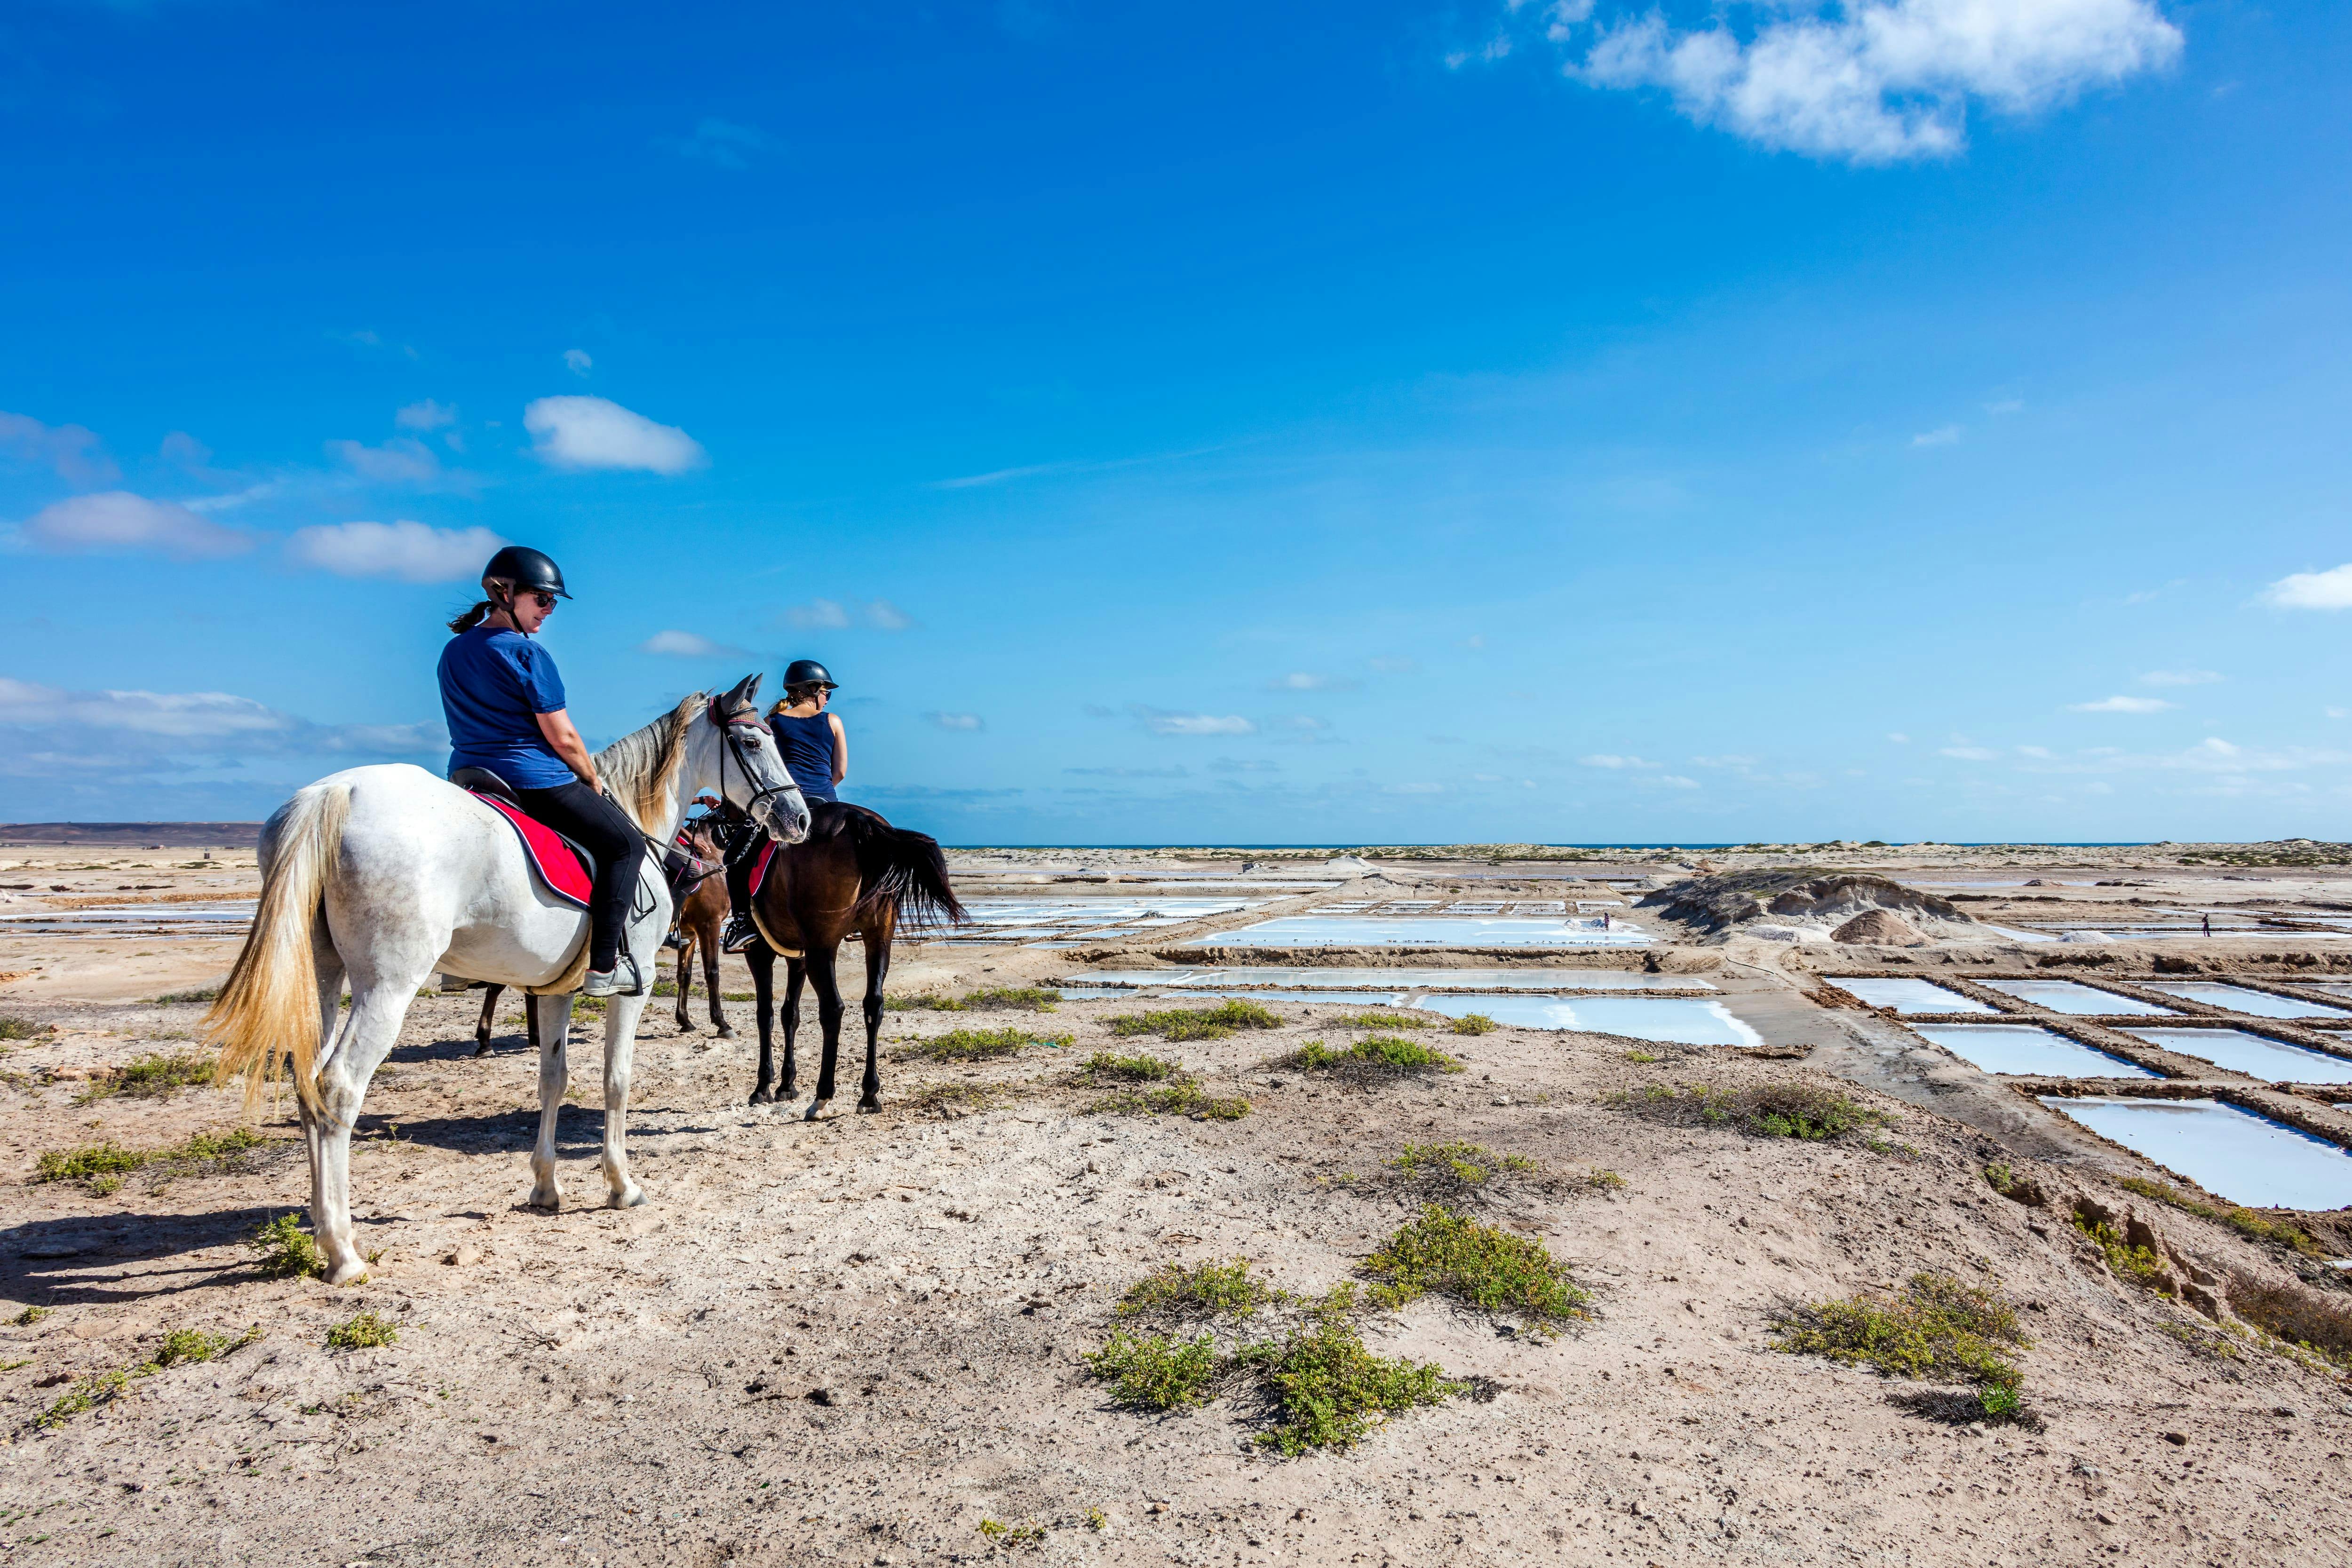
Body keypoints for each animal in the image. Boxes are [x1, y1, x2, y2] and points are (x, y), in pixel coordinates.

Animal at [205, 677, 809, 1288]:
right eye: (752, 742)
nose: (799, 817)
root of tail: (336, 792)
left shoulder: (558, 990)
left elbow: (553, 1080)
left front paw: (545, 1186)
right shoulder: (632, 988)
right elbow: (616, 1081)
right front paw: (621, 1184)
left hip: (323, 977)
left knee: (308, 1083)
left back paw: (317, 1222)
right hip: (388, 986)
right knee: (339, 1087)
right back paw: (342, 1249)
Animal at [743, 804, 964, 1124]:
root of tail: (857, 820)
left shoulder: (760, 953)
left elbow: (766, 1015)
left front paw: (763, 1087)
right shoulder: (797, 957)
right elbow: (790, 1015)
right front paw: (786, 1085)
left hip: (821, 947)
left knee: (833, 1010)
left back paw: (822, 1098)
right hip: (878, 936)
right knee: (874, 1004)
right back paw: (869, 1095)